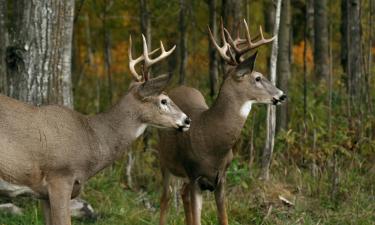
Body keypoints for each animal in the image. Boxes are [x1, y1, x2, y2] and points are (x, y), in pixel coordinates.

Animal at [157, 19, 286, 225]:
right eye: (257, 77)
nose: (282, 95)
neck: (211, 141)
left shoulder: (221, 179)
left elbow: (223, 218)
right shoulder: (195, 175)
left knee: (182, 193)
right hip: (165, 161)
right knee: (165, 197)